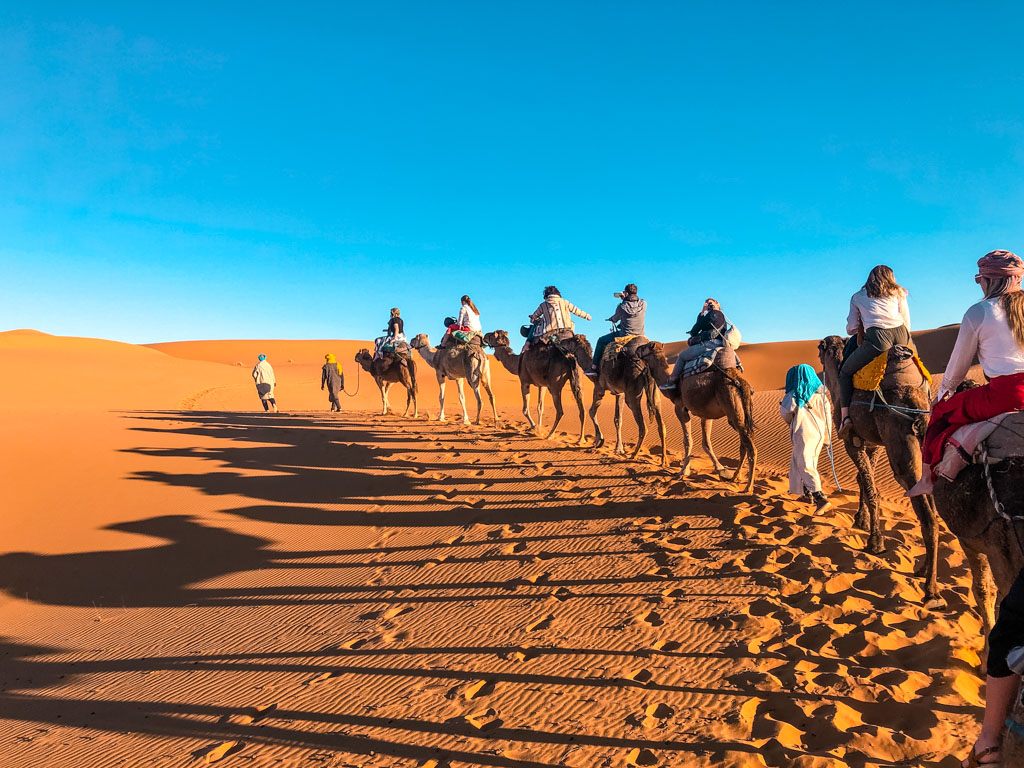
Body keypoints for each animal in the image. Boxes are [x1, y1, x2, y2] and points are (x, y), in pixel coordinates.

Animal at [585, 335, 671, 468]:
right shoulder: (619, 393)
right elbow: (617, 419)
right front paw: (618, 449)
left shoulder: (599, 388)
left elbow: (592, 411)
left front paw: (599, 440)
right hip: (655, 392)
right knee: (661, 426)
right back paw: (664, 461)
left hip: (632, 395)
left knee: (643, 427)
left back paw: (634, 455)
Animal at [643, 346, 757, 495]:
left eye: (644, 347)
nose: (636, 349)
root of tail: (741, 383)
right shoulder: (706, 415)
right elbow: (706, 443)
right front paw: (722, 470)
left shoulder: (680, 408)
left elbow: (688, 441)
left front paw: (683, 471)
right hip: (739, 416)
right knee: (744, 445)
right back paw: (734, 477)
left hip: (733, 408)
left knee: (751, 448)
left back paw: (748, 488)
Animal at [819, 335, 937, 606]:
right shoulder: (873, 444)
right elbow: (864, 479)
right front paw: (860, 520)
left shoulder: (851, 441)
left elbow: (870, 488)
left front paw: (875, 542)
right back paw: (923, 569)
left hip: (900, 445)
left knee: (926, 513)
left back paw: (931, 592)